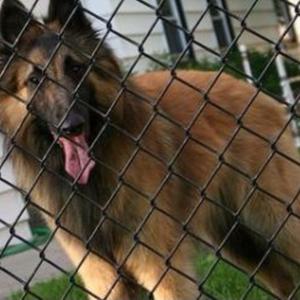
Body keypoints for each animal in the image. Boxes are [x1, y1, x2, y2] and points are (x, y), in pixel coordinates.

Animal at [0, 0, 298, 298]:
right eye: (35, 80)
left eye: (76, 68)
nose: (70, 126)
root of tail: (251, 89)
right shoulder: (102, 278)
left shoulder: (162, 270)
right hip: (241, 239)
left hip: (276, 222)